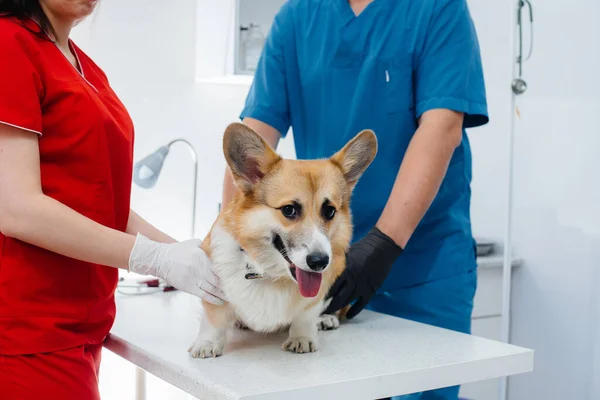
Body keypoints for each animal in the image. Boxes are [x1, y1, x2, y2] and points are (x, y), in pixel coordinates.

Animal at [189, 122, 376, 356]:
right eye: (289, 209)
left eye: (330, 211)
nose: (319, 262)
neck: (271, 274)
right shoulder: (213, 287)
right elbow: (214, 318)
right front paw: (207, 343)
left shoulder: (317, 295)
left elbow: (306, 314)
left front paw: (302, 337)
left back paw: (326, 318)